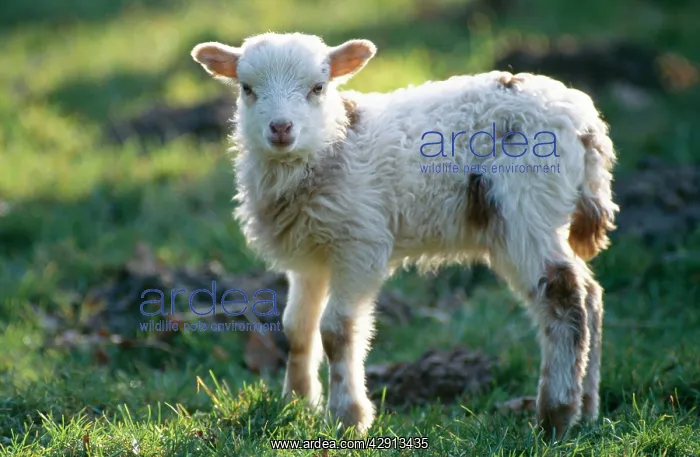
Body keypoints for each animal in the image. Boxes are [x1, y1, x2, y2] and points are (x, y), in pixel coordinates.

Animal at [191, 32, 619, 441]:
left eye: (318, 87)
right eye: (247, 88)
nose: (281, 128)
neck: (333, 146)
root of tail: (586, 123)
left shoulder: (360, 242)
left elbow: (336, 330)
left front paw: (348, 417)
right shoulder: (310, 252)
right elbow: (297, 326)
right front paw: (297, 402)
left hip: (525, 204)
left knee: (562, 294)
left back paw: (555, 417)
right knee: (590, 293)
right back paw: (588, 408)